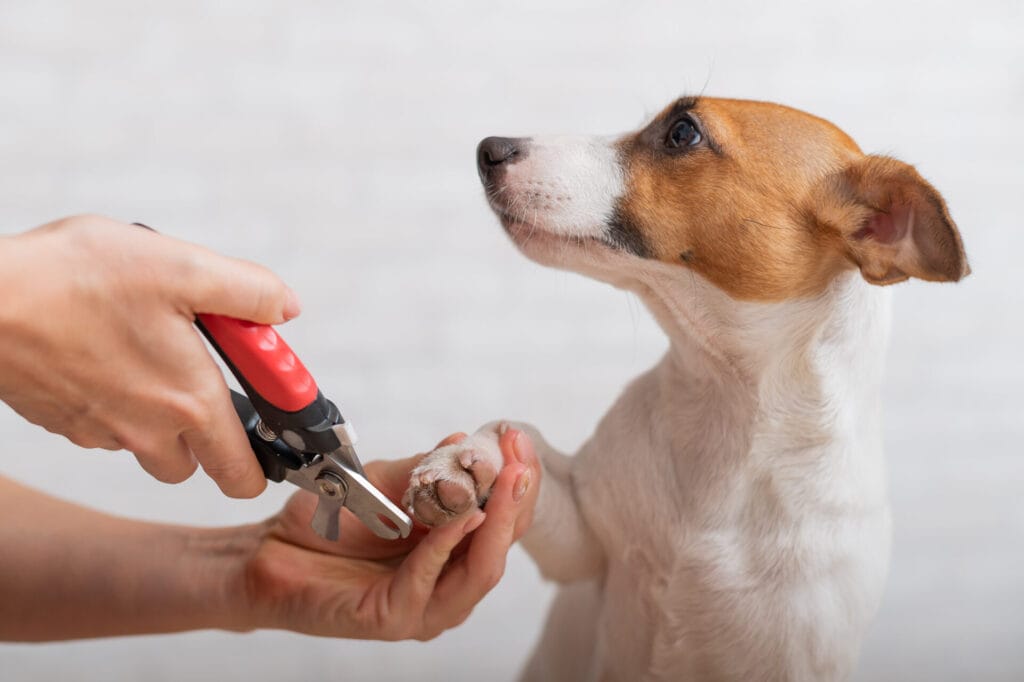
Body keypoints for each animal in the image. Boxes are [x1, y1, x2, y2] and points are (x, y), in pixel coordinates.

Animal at [399, 96, 966, 679]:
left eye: (682, 133)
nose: (488, 149)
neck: (727, 404)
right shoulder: (582, 545)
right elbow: (516, 433)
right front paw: (467, 461)